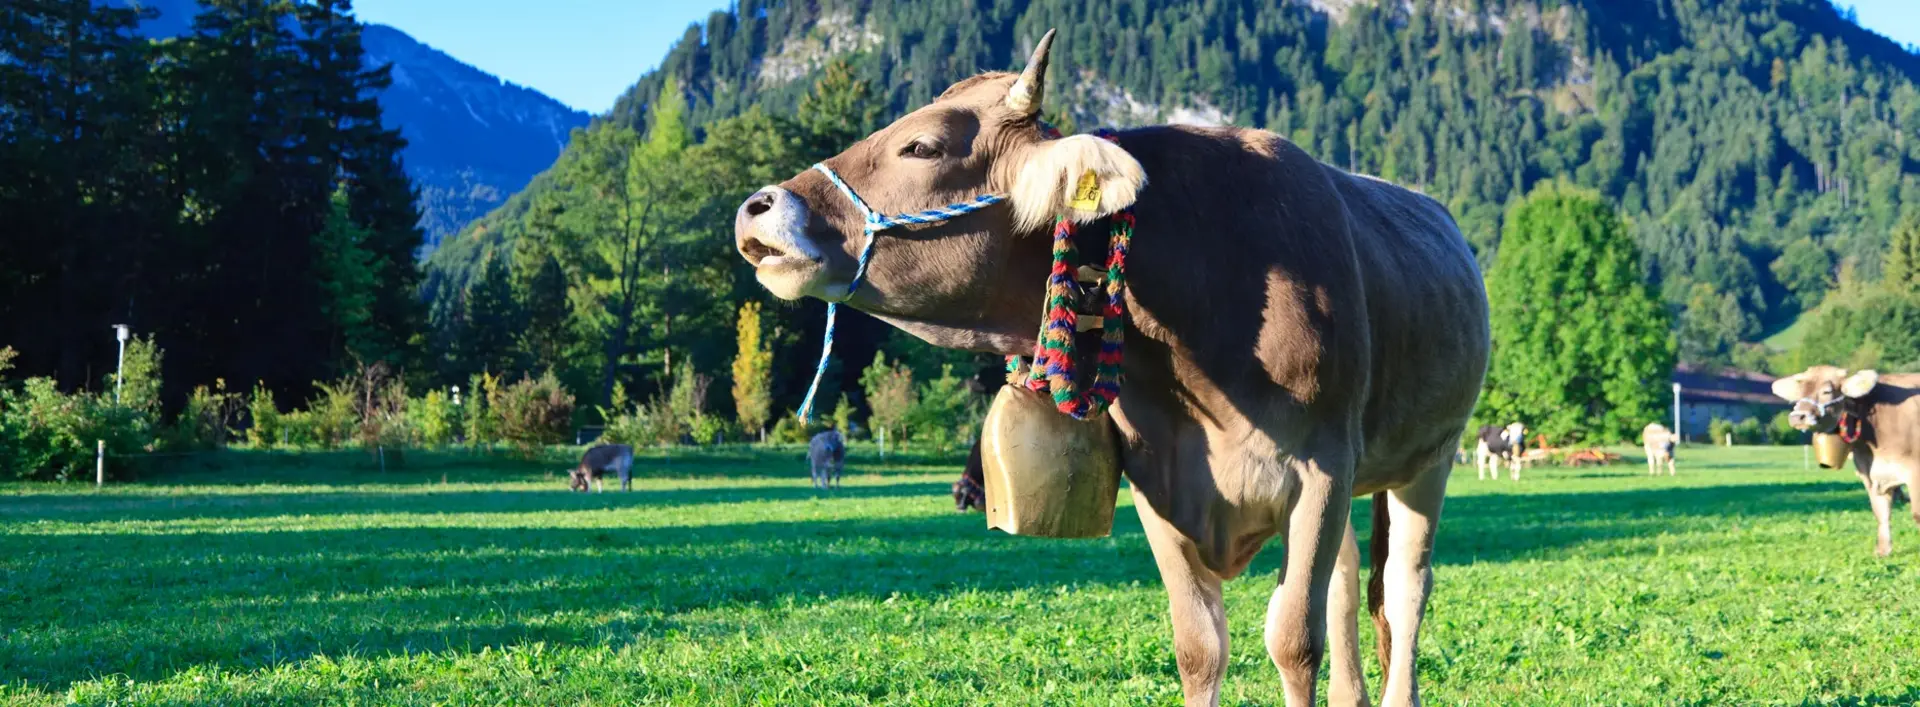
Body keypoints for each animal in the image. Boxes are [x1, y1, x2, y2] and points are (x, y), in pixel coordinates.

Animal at [725, 30, 1489, 703]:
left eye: (923, 145)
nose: (757, 206)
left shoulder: (1322, 468)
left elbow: (1294, 640)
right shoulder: (1161, 477)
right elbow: (1199, 645)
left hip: (1433, 456)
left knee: (1404, 590)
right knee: (1348, 579)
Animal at [1766, 365, 1920, 557]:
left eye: (1827, 391)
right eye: (1800, 392)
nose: (1797, 417)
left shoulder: (1914, 472)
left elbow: (1917, 514)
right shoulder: (1871, 475)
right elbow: (1881, 512)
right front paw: (1882, 551)